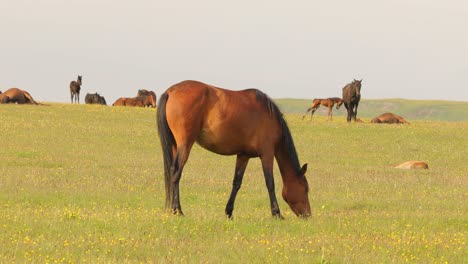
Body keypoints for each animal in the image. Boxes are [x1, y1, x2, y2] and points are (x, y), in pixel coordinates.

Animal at [157, 80, 310, 219]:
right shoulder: (267, 154)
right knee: (176, 172)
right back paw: (177, 210)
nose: (308, 214)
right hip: (185, 144)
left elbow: (237, 182)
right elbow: (270, 182)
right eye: (305, 189)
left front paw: (229, 212)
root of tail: (171, 91)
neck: (269, 116)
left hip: (175, 145)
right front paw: (277, 213)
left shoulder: (243, 155)